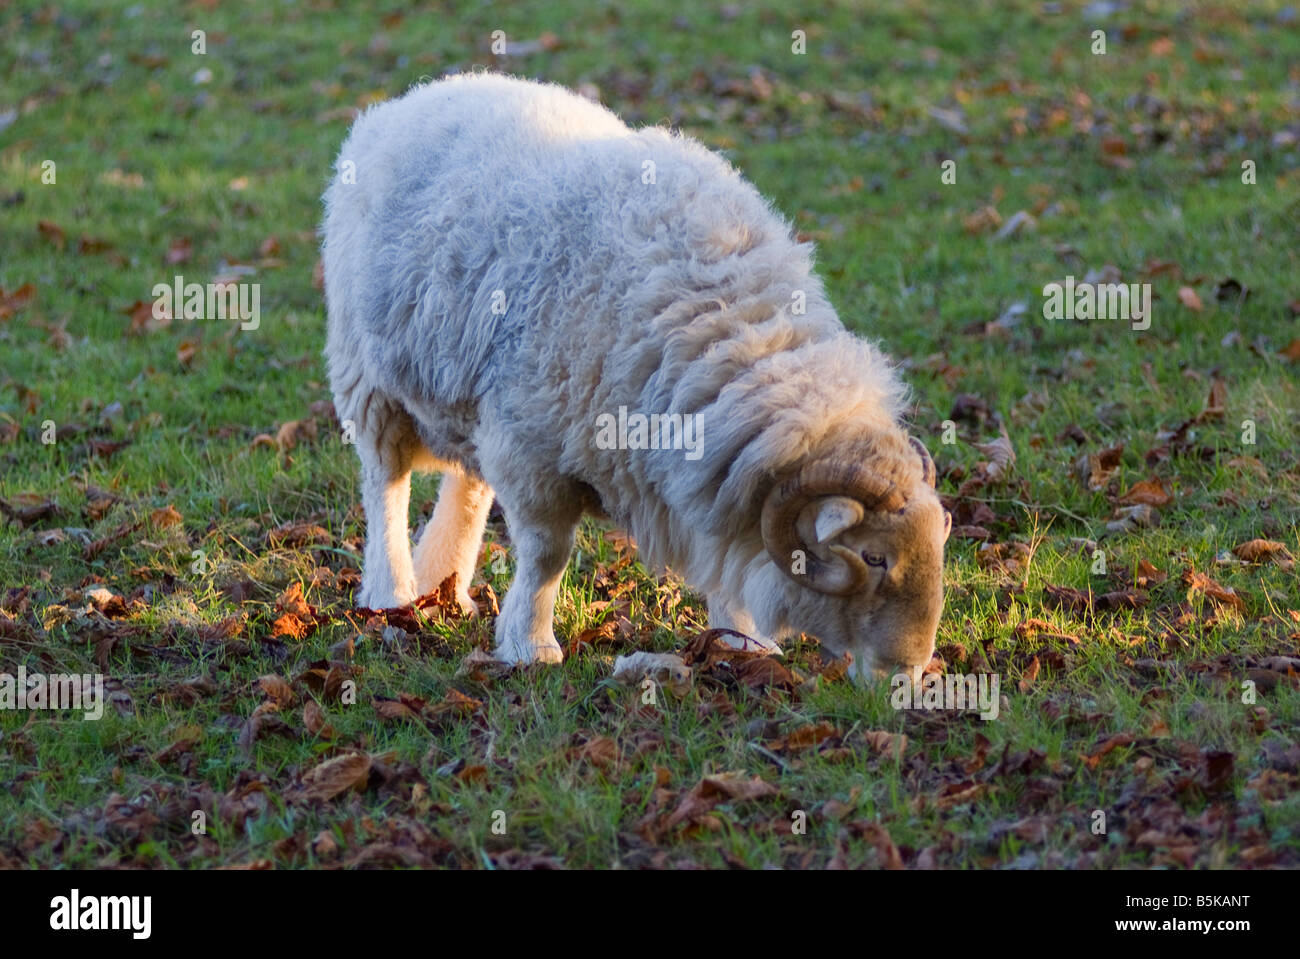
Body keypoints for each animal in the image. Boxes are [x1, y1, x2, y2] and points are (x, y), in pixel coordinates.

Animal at [319, 76, 951, 686]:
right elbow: (547, 553)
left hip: (468, 388)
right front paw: (530, 646)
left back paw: (444, 581)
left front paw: (743, 642)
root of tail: (421, 94)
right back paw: (392, 592)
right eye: (873, 558)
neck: (729, 337)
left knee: (468, 484)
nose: (907, 675)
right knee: (384, 480)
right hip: (366, 374)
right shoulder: (533, 449)